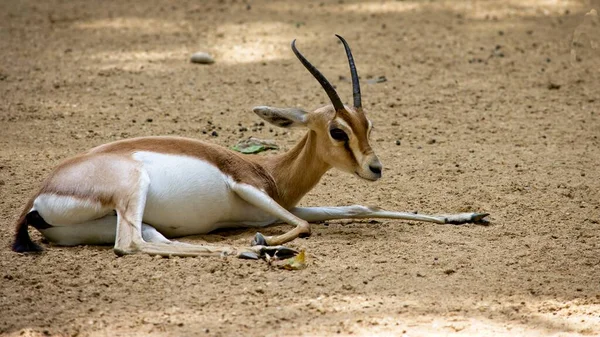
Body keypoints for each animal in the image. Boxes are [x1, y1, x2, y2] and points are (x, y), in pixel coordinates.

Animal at [10, 35, 488, 258]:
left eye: (367, 123)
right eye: (337, 131)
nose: (375, 168)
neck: (273, 172)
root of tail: (37, 196)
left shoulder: (280, 204)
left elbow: (359, 207)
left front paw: (468, 215)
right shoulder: (249, 189)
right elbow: (306, 225)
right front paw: (266, 236)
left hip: (119, 222)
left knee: (149, 239)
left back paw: (253, 250)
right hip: (134, 190)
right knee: (130, 245)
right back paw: (257, 247)